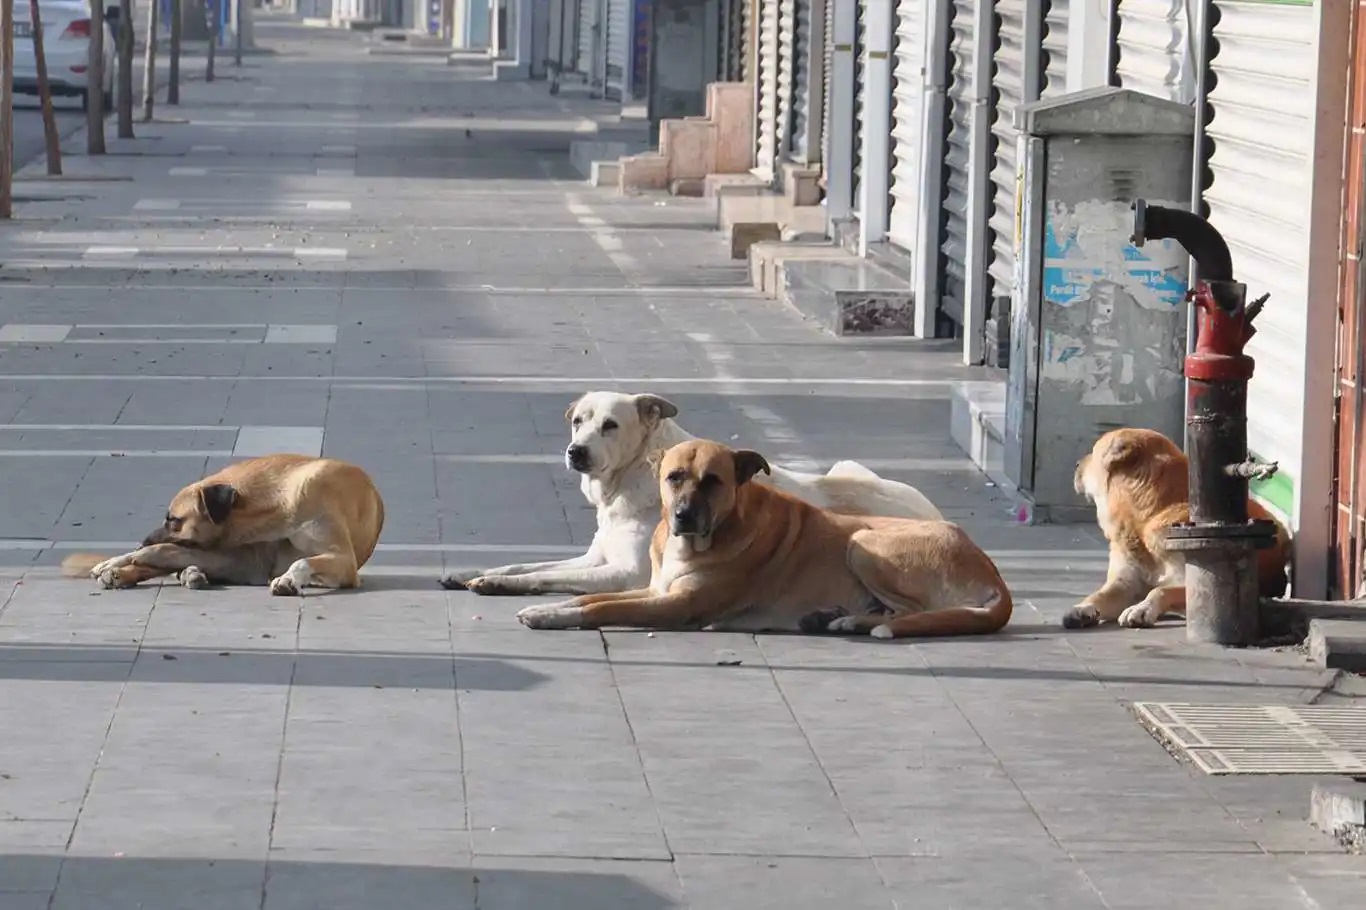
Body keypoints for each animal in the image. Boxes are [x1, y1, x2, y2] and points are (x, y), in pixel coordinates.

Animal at [61, 453, 385, 595]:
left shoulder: (344, 561)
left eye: (174, 520)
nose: (142, 539)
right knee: (165, 559)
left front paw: (288, 579)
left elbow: (302, 561)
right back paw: (120, 571)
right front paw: (119, 560)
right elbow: (157, 552)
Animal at [442, 390, 945, 595]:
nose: (575, 451)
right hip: (846, 467)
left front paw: (497, 585)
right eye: (578, 421)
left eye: (610, 425)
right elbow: (526, 563)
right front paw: (472, 572)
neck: (630, 479)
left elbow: (543, 577)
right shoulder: (594, 556)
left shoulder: (626, 574)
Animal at [516, 439, 1010, 636]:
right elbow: (586, 598)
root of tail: (993, 573)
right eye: (674, 477)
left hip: (863, 544)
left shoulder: (675, 605)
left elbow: (600, 608)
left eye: (713, 481)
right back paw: (838, 618)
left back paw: (856, 622)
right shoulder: (654, 589)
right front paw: (547, 608)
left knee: (913, 612)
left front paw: (551, 617)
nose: (684, 516)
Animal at [1065, 426, 1289, 628]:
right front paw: (1083, 607)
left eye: (1093, 452)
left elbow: (1161, 590)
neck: (1149, 516)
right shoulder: (1123, 584)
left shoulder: (1192, 581)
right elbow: (1099, 594)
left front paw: (1142, 608)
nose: (1075, 464)